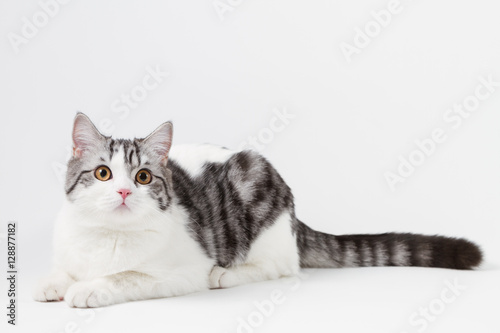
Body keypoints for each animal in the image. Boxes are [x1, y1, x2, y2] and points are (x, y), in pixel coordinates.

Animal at [33, 113, 482, 308]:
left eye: (143, 177)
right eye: (103, 173)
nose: (125, 191)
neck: (107, 235)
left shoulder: (181, 272)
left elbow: (126, 276)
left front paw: (88, 288)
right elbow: (62, 269)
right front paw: (53, 283)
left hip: (258, 199)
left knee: (281, 267)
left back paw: (226, 274)